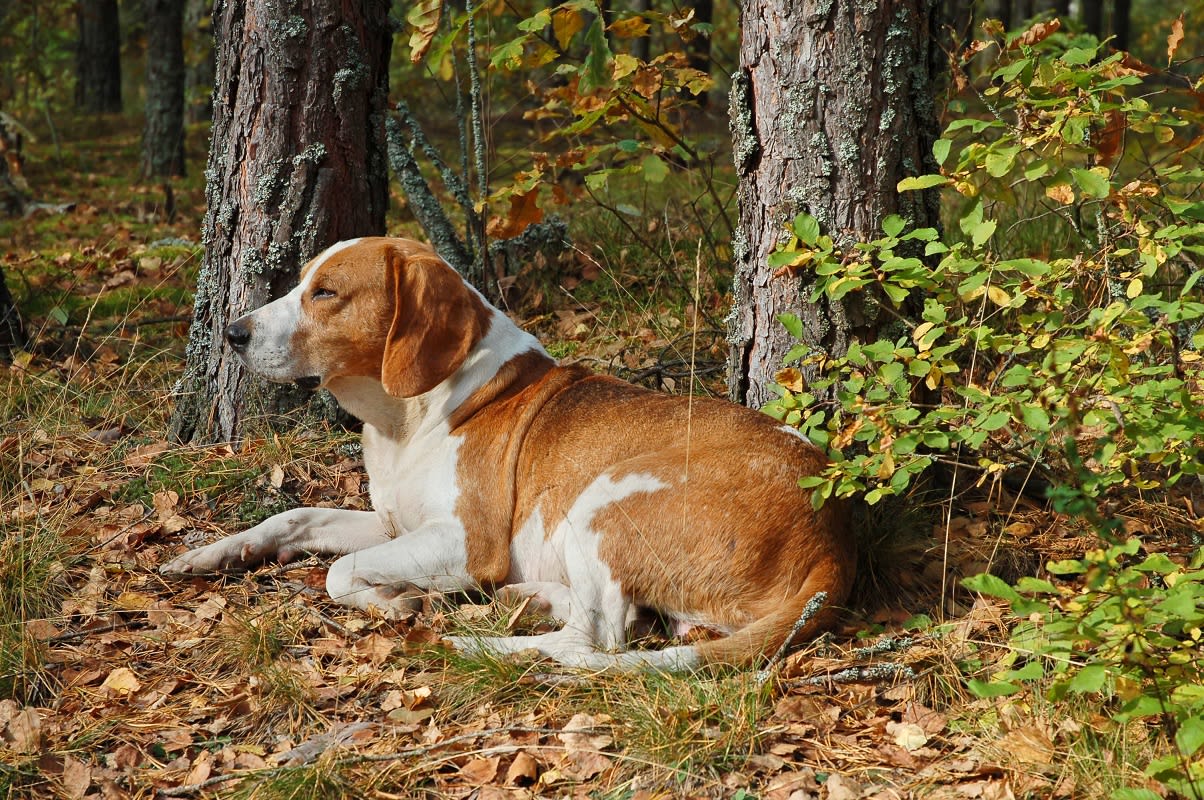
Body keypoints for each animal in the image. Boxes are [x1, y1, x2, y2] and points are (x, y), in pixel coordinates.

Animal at [162, 236, 857, 669]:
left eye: (326, 293)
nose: (231, 332)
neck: (406, 419)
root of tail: (831, 540)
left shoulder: (466, 542)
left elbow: (339, 574)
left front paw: (398, 600)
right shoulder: (393, 524)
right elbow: (292, 517)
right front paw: (213, 554)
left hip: (600, 498)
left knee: (595, 643)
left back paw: (475, 646)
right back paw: (531, 600)